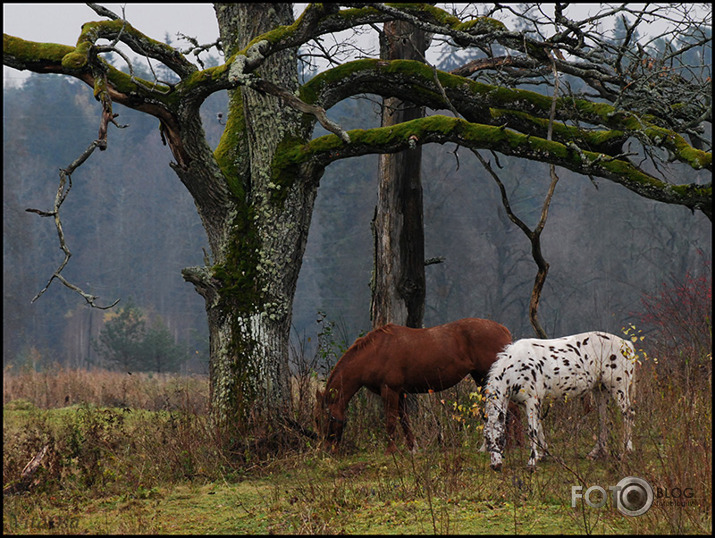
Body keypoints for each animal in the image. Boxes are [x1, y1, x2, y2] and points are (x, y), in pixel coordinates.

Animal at [316, 318, 524, 452]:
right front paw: (412, 448)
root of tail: (503, 330)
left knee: (512, 410)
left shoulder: (390, 391)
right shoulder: (399, 393)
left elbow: (391, 421)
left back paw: (513, 446)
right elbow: (404, 420)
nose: (327, 450)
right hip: (482, 379)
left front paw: (391, 451)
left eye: (328, 419)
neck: (376, 352)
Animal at [484, 330, 636, 468]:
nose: (495, 466)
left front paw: (532, 462)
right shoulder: (530, 404)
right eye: (487, 440)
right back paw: (597, 453)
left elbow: (532, 431)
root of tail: (627, 344)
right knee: (603, 419)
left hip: (619, 388)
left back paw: (626, 450)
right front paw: (542, 455)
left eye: (500, 439)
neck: (515, 367)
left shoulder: (532, 401)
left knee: (628, 414)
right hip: (600, 391)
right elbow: (539, 429)